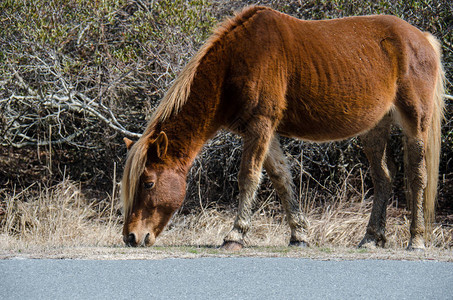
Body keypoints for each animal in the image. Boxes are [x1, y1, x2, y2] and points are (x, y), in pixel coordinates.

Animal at [120, 6, 444, 251]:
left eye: (148, 183)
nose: (131, 237)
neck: (233, 64)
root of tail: (422, 38)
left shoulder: (260, 125)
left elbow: (249, 177)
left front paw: (235, 236)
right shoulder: (264, 131)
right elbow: (281, 178)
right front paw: (299, 235)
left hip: (415, 122)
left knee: (416, 176)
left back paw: (415, 240)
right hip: (375, 128)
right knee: (383, 178)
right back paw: (371, 238)